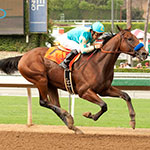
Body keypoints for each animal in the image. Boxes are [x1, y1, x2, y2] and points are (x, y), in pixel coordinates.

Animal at [0, 25, 148, 134]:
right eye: (129, 38)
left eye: (136, 37)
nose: (145, 53)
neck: (98, 64)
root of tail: (23, 56)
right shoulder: (84, 91)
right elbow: (104, 105)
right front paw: (89, 115)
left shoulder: (105, 89)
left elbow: (126, 95)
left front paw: (133, 121)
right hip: (40, 79)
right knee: (44, 102)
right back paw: (68, 115)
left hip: (51, 84)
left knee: (54, 104)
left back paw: (73, 126)